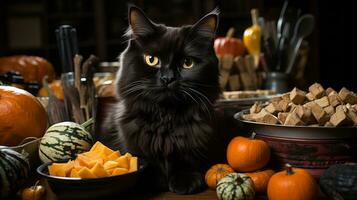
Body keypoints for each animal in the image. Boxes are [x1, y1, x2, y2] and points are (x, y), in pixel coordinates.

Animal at [101, 5, 236, 194]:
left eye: (187, 63)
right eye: (152, 60)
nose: (167, 78)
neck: (166, 118)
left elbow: (184, 160)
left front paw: (184, 180)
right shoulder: (133, 145)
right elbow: (145, 162)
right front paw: (152, 180)